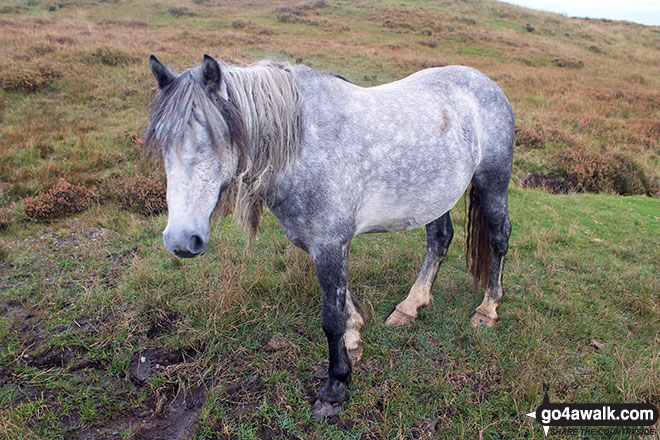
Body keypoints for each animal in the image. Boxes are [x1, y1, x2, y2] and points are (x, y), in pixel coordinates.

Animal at [146, 53, 516, 418]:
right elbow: (343, 298)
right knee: (439, 239)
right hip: (435, 196)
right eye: (162, 139)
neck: (302, 147)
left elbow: (330, 319)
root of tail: (487, 84)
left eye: (217, 137)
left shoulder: (330, 243)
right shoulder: (323, 243)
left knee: (499, 238)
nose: (181, 239)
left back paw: (487, 310)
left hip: (492, 182)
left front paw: (335, 387)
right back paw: (410, 306)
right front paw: (354, 339)